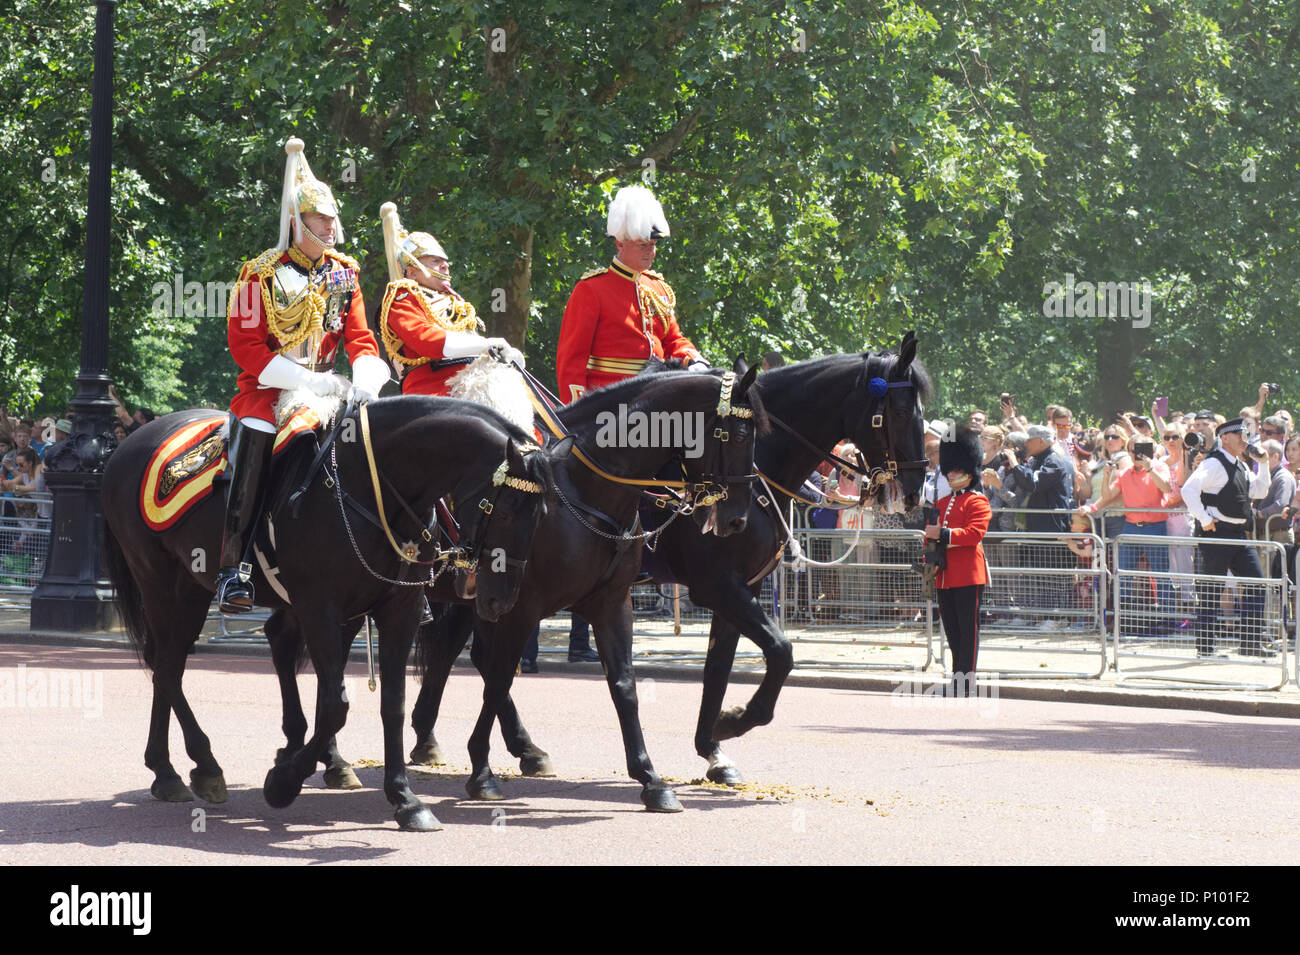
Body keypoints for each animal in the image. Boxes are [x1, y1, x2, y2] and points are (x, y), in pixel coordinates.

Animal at [104, 394, 561, 831]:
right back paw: (197, 766)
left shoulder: (401, 609)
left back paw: (173, 771)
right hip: (162, 584)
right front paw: (283, 783)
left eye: (542, 516)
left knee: (174, 663)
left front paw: (404, 798)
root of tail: (129, 444)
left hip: (191, 589)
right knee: (168, 667)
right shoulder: (318, 605)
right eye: (505, 510)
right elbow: (334, 704)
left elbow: (390, 702)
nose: (500, 600)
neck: (376, 489)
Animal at [410, 335, 930, 784]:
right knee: (475, 654)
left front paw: (713, 747)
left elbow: (719, 668)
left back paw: (446, 739)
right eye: (902, 410)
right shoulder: (717, 585)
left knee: (463, 651)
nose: (913, 491)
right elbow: (781, 651)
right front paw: (734, 721)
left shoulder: (742, 587)